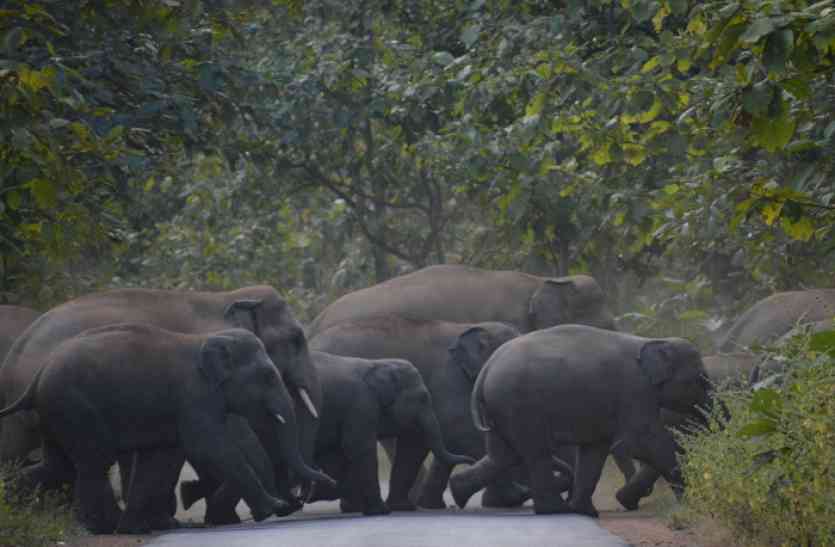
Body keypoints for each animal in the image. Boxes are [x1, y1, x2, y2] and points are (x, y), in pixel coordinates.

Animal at [0, 286, 320, 524]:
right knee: (89, 458)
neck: (229, 297)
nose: (299, 499)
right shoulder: (200, 389)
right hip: (72, 404)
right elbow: (230, 439)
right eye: (296, 339)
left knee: (50, 459)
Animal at [450, 326, 712, 520]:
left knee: (503, 455)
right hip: (517, 404)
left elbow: (595, 450)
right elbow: (641, 440)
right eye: (701, 380)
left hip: (500, 407)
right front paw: (692, 500)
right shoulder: (634, 390)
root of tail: (487, 368)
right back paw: (554, 510)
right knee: (536, 452)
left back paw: (457, 492)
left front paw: (585, 512)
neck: (651, 341)